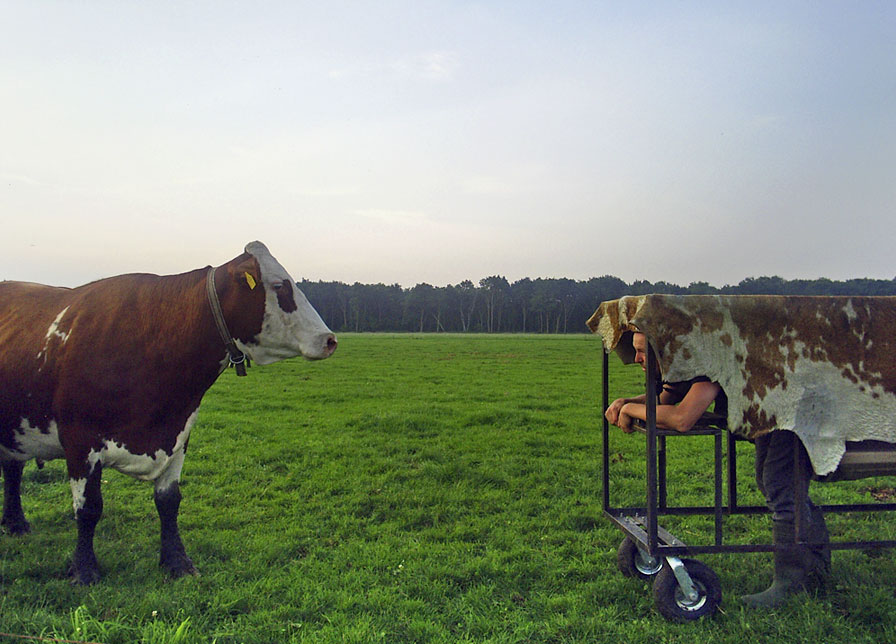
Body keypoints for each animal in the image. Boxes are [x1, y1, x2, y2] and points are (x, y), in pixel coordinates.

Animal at [0, 242, 336, 584]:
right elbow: (89, 507)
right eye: (280, 286)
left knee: (12, 469)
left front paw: (177, 562)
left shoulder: (179, 433)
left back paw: (15, 523)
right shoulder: (80, 440)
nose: (330, 340)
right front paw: (84, 569)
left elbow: (169, 502)